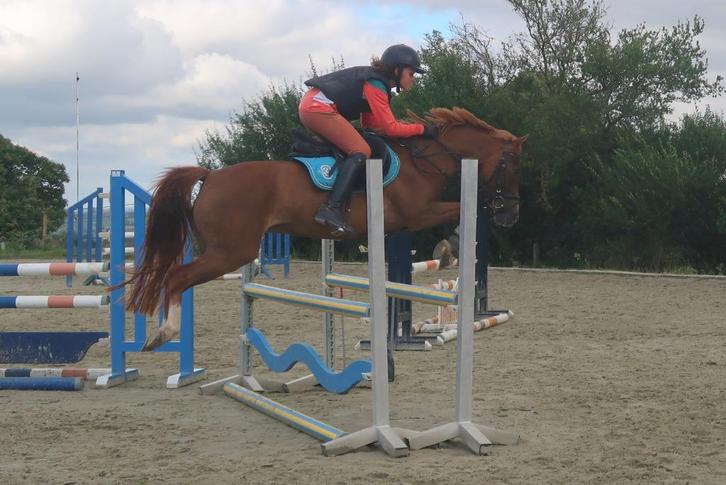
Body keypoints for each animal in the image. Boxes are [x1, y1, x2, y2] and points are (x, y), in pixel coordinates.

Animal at [124, 107, 527, 350]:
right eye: (510, 165)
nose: (511, 213)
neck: (423, 160)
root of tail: (210, 176)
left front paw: (449, 249)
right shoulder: (417, 213)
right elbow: (465, 210)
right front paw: (451, 247)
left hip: (229, 251)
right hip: (230, 252)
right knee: (175, 277)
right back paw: (164, 333)